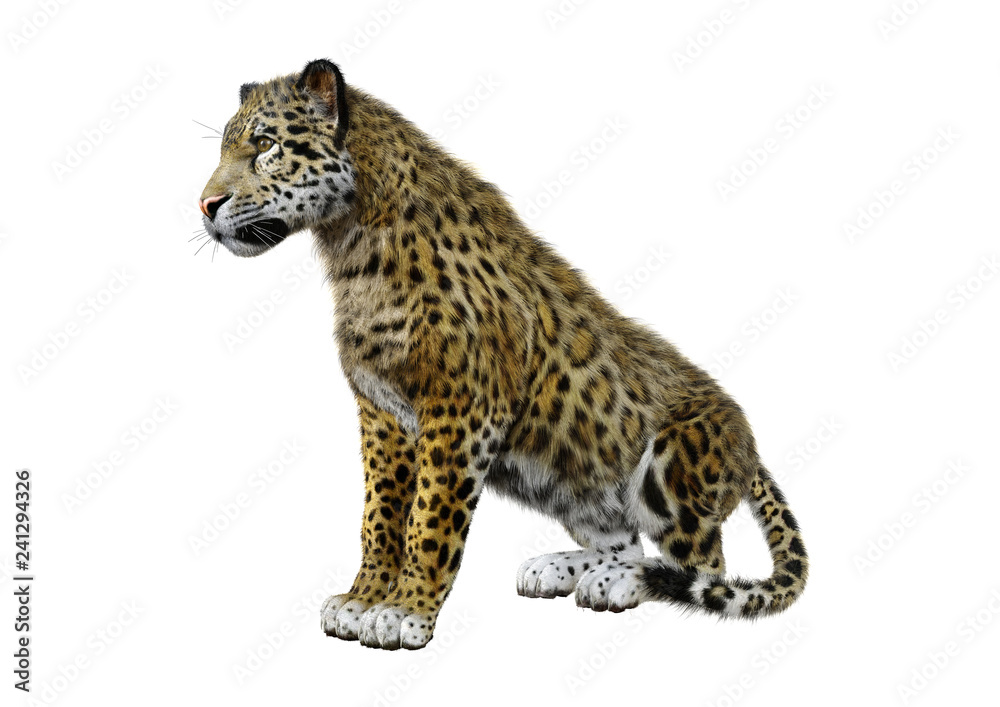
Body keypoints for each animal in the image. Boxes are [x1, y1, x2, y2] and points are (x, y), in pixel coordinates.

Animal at [198, 59, 809, 651]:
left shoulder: (461, 409)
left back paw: (625, 584)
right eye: (224, 148)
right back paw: (569, 571)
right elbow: (381, 513)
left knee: (703, 566)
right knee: (626, 541)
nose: (205, 204)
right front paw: (362, 598)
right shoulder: (380, 412)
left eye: (265, 145)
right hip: (571, 483)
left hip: (671, 463)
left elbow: (430, 519)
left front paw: (405, 611)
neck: (351, 246)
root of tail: (750, 446)